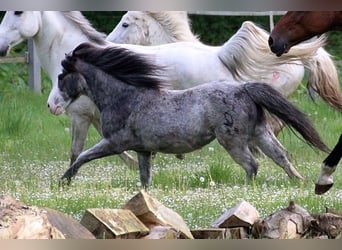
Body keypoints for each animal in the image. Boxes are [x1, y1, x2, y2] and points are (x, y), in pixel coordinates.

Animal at [0, 11, 336, 172]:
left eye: (17, 12)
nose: (2, 47)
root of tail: (223, 55)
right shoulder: (98, 121)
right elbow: (117, 154)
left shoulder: (80, 117)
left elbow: (77, 152)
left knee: (266, 146)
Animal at [57, 42, 330, 188]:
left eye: (61, 77)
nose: (55, 105)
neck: (125, 97)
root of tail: (244, 88)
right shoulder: (143, 150)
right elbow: (145, 179)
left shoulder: (114, 142)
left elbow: (82, 156)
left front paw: (63, 181)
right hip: (260, 134)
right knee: (281, 157)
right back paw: (301, 182)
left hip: (233, 141)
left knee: (253, 164)